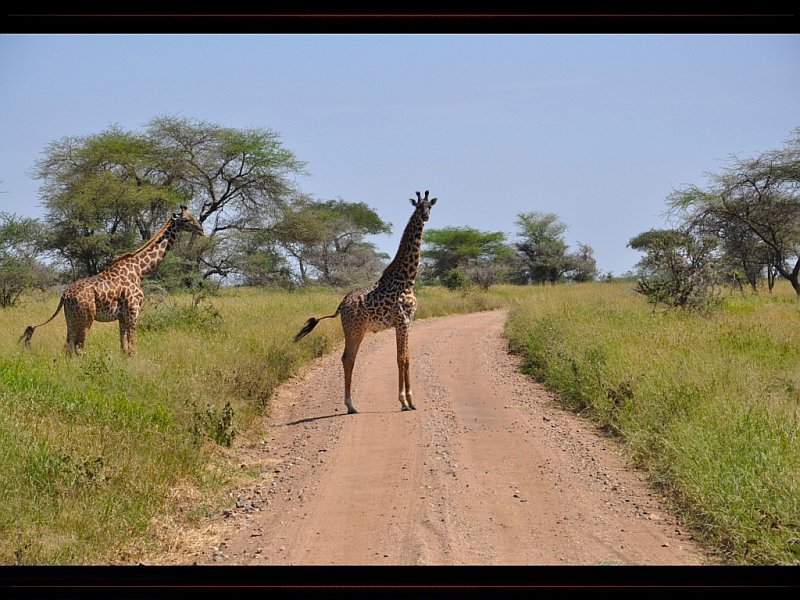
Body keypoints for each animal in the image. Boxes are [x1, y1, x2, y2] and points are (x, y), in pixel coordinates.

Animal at [20, 206, 204, 356]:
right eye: (186, 219)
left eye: (193, 217)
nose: (201, 230)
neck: (140, 270)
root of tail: (65, 294)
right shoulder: (133, 311)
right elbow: (133, 348)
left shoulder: (122, 316)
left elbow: (124, 348)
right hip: (85, 318)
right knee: (79, 348)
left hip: (71, 319)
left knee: (68, 347)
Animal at [293, 190, 437, 414]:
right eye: (418, 207)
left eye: (429, 206)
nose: (425, 216)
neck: (407, 279)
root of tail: (341, 305)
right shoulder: (402, 321)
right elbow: (401, 358)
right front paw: (405, 401)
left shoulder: (407, 322)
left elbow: (406, 358)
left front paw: (410, 401)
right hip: (355, 329)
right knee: (348, 358)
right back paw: (350, 405)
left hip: (356, 330)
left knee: (348, 358)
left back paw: (351, 405)